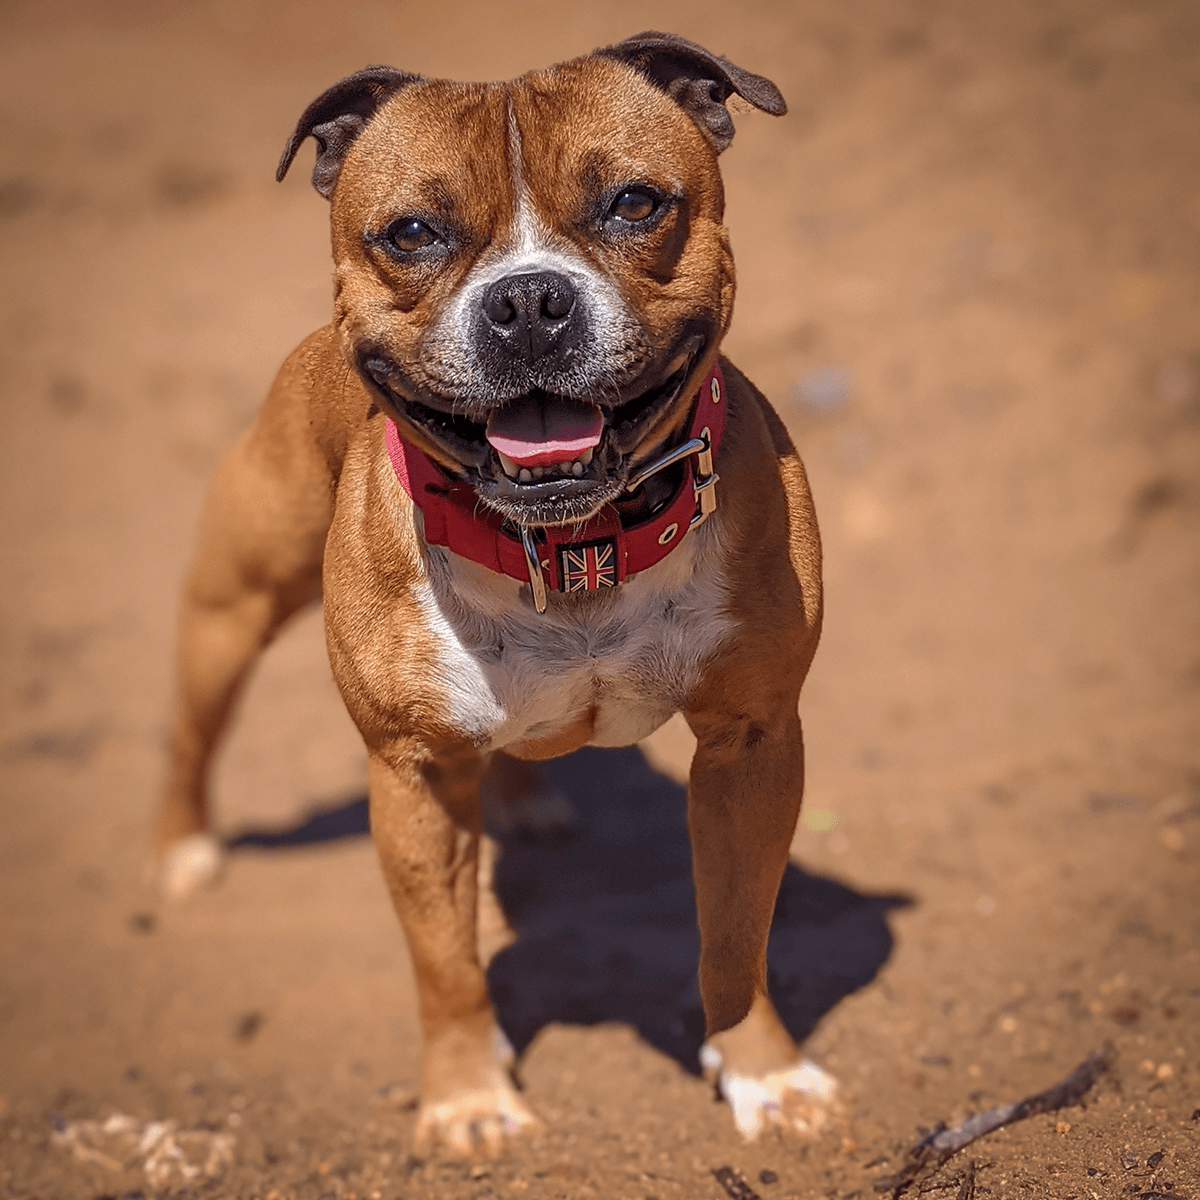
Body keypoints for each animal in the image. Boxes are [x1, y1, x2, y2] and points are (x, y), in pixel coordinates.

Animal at [154, 30, 835, 1152]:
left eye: (635, 203)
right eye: (411, 233)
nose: (527, 303)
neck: (571, 545)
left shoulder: (753, 743)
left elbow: (738, 933)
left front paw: (763, 1073)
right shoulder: (416, 776)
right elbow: (445, 962)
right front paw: (471, 1098)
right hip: (233, 607)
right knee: (192, 728)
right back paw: (180, 848)